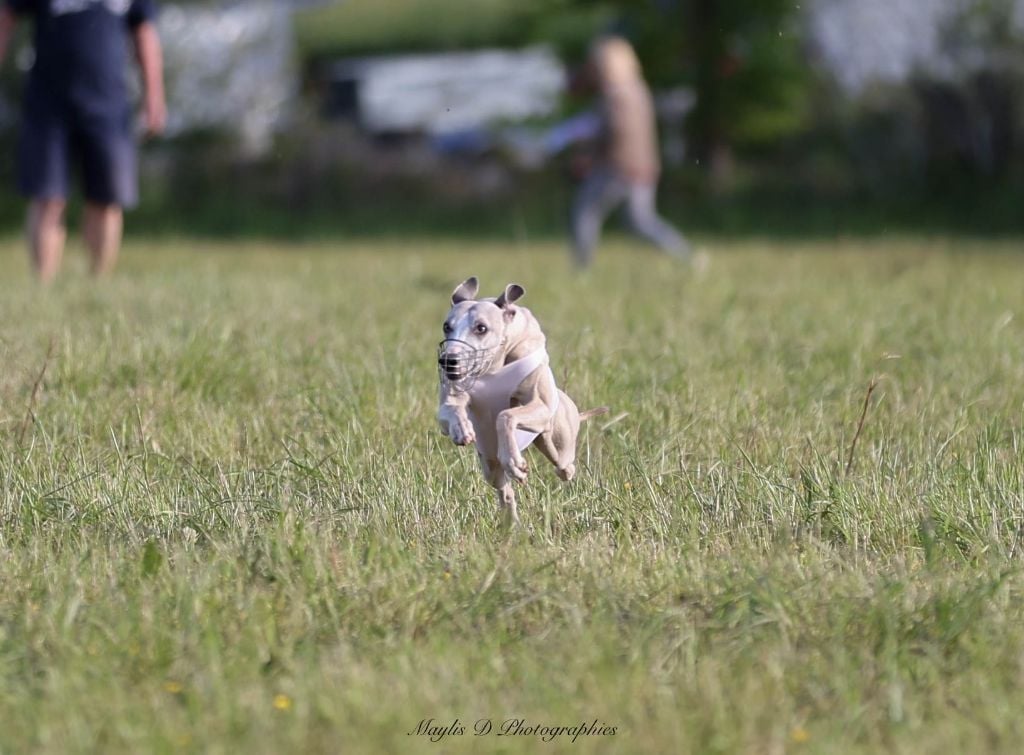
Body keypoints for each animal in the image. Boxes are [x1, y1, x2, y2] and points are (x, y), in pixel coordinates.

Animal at [436, 276, 607, 524]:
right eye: (446, 326)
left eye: (481, 328)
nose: (448, 361)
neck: (494, 368)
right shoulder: (449, 403)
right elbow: (449, 409)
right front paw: (461, 428)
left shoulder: (540, 406)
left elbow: (505, 415)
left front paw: (514, 461)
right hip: (490, 462)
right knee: (503, 488)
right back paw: (512, 522)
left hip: (557, 443)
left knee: (564, 467)